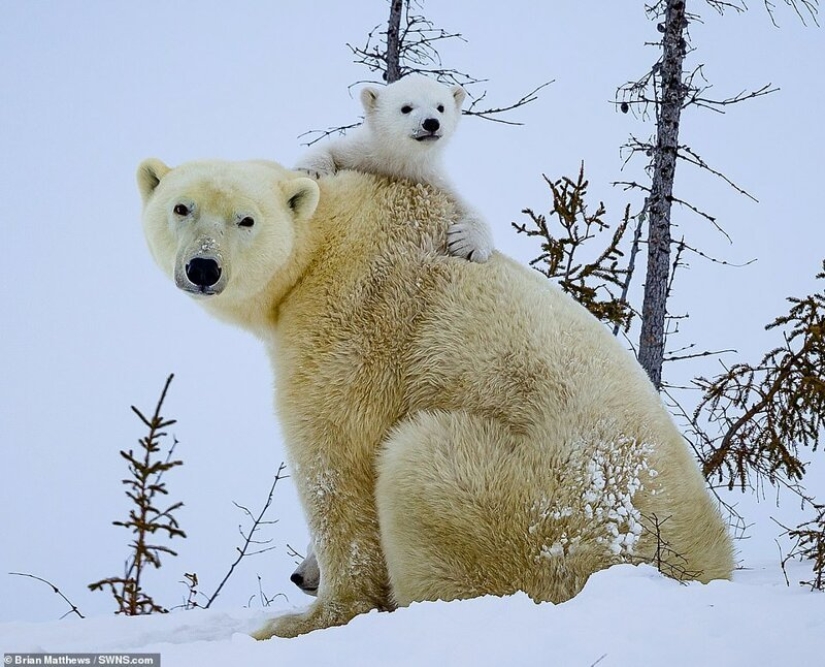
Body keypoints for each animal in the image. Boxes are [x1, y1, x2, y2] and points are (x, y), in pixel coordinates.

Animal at [137, 158, 735, 640]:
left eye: (247, 219)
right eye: (181, 207)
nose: (203, 268)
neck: (333, 237)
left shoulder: (350, 321)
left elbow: (336, 461)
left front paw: (305, 620)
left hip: (539, 511)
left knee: (418, 461)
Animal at [295, 74, 493, 263]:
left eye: (440, 107)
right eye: (406, 108)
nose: (431, 123)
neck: (399, 159)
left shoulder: (431, 178)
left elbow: (463, 205)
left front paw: (467, 244)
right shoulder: (361, 152)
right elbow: (329, 149)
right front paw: (312, 171)